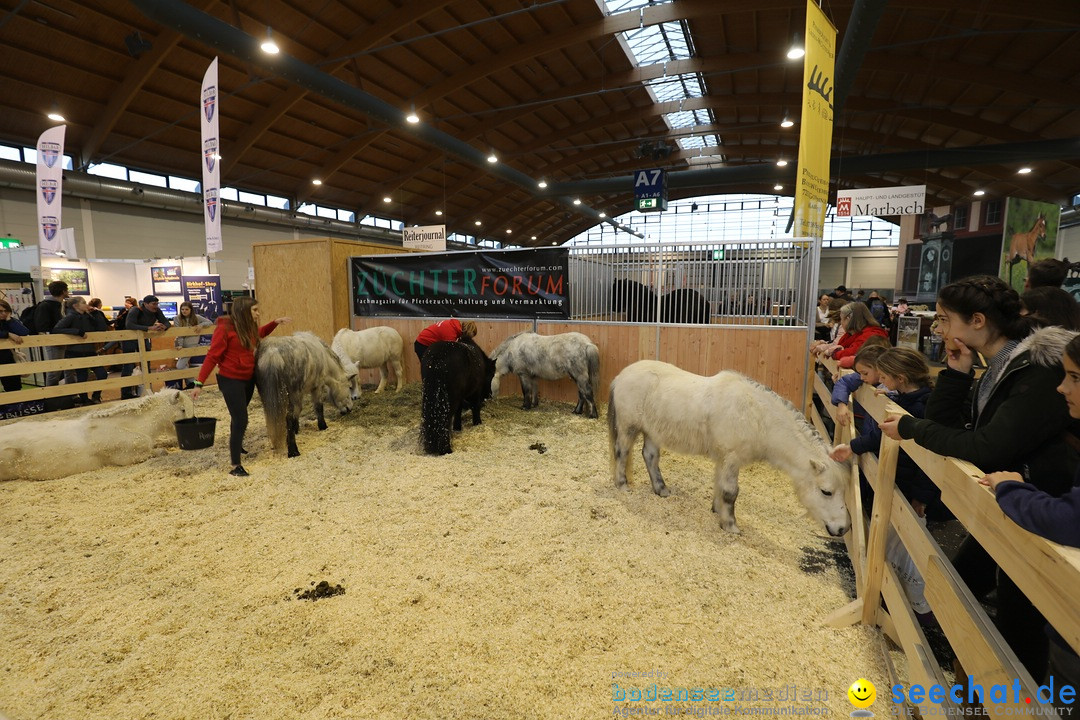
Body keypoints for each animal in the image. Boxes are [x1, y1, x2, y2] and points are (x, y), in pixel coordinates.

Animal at [609, 360, 851, 535]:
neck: (757, 418)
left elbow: (719, 485)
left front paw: (717, 511)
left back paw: (661, 489)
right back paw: (622, 485)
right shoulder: (732, 459)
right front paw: (730, 525)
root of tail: (621, 376)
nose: (843, 529)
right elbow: (730, 492)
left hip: (653, 431)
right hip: (629, 428)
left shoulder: (724, 459)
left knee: (650, 456)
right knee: (622, 452)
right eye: (826, 491)